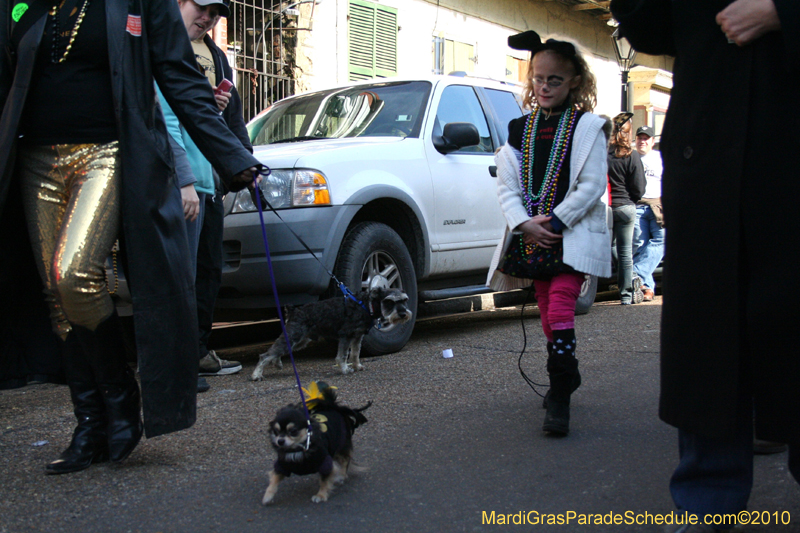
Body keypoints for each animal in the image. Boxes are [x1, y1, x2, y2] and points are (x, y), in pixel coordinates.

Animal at [250, 286, 412, 378]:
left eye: (405, 300)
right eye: (389, 301)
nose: (403, 314)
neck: (366, 305)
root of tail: (294, 310)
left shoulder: (357, 337)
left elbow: (355, 353)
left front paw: (357, 366)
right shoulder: (346, 336)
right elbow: (342, 356)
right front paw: (345, 369)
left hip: (300, 340)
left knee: (278, 350)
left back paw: (277, 363)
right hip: (295, 336)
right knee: (266, 355)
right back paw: (256, 374)